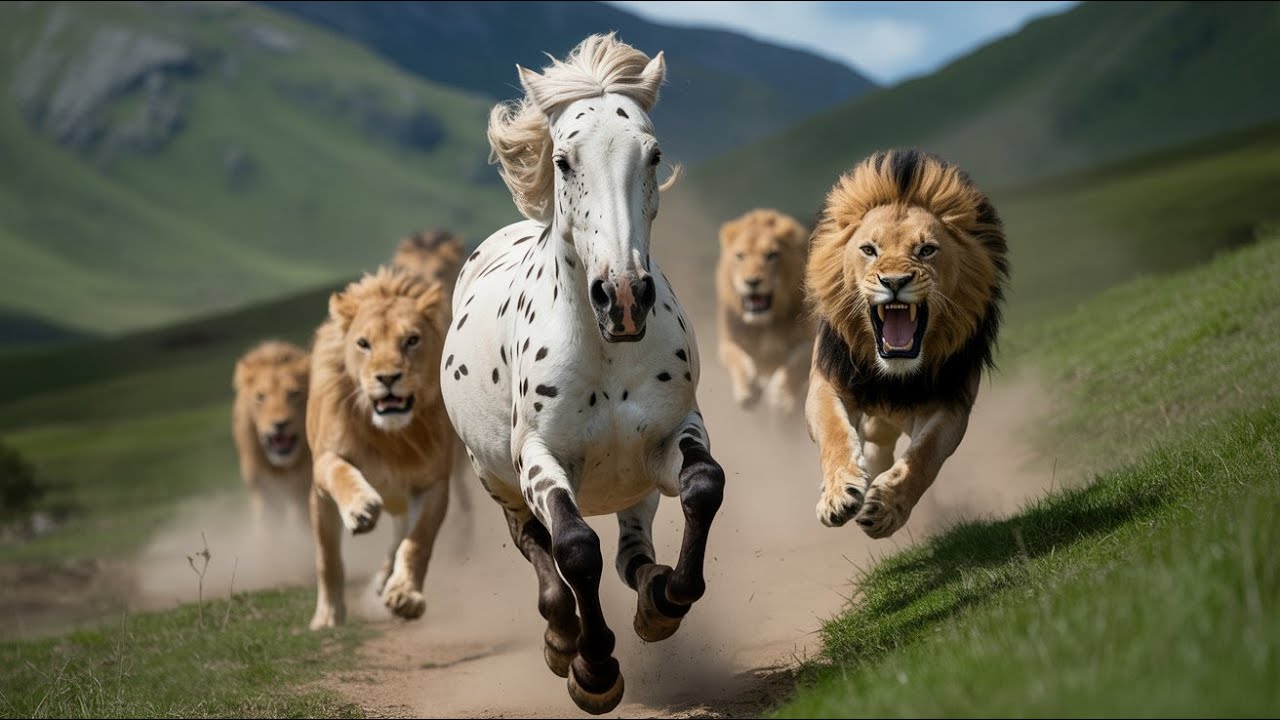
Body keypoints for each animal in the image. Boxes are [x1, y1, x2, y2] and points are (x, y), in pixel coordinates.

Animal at [231, 340, 312, 531]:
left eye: (294, 394)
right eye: (261, 396)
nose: (279, 424)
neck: (283, 467)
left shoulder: (305, 491)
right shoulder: (264, 494)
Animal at [306, 266, 456, 629]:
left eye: (412, 340)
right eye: (364, 344)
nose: (388, 378)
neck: (391, 436)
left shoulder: (433, 484)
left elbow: (417, 542)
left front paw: (405, 596)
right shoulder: (322, 467)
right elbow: (340, 475)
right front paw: (361, 509)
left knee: (399, 539)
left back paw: (387, 580)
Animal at [440, 34, 725, 715]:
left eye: (653, 154)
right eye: (565, 160)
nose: (622, 297)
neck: (607, 354)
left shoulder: (672, 435)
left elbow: (704, 486)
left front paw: (667, 601)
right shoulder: (539, 460)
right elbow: (574, 550)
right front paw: (593, 670)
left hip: (633, 485)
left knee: (631, 553)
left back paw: (652, 592)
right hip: (495, 478)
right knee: (539, 550)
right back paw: (561, 636)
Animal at [716, 209, 816, 415]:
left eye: (772, 255)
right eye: (740, 256)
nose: (752, 282)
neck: (765, 324)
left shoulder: (813, 339)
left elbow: (797, 361)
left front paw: (780, 395)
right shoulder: (727, 340)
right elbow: (736, 357)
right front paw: (747, 388)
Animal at [804, 149, 1009, 539]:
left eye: (927, 249)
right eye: (869, 249)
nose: (895, 281)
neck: (895, 373)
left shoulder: (952, 403)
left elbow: (924, 456)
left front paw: (885, 508)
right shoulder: (829, 380)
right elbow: (834, 432)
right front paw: (839, 494)